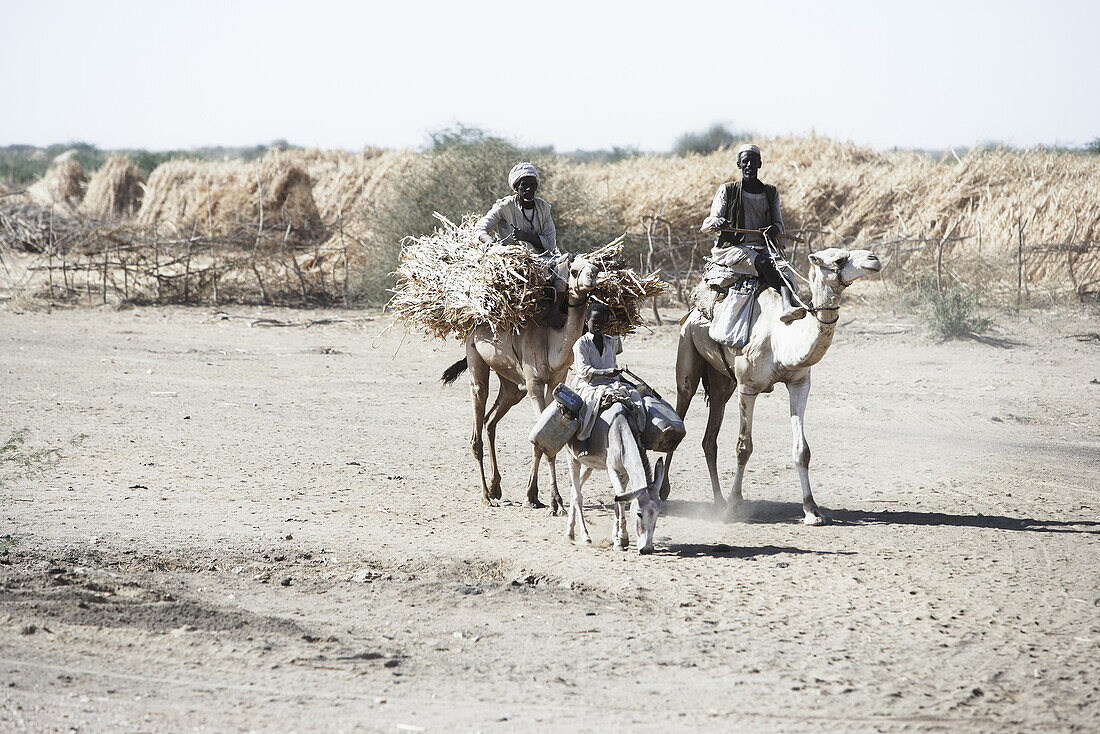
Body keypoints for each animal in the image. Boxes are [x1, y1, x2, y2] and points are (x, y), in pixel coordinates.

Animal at [440, 255, 602, 515]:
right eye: (574, 271)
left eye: (596, 267)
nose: (591, 277)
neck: (551, 342)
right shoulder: (534, 383)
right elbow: (540, 441)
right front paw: (553, 502)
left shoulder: (556, 381)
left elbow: (541, 441)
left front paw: (534, 496)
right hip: (475, 352)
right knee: (478, 410)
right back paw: (486, 496)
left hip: (511, 383)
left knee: (490, 420)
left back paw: (496, 487)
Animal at [567, 404, 660, 554]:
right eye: (639, 514)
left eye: (657, 514)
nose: (647, 549)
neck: (621, 430)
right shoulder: (612, 469)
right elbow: (621, 500)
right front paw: (621, 539)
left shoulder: (625, 473)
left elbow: (619, 500)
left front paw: (619, 537)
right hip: (572, 457)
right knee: (577, 496)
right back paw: (585, 536)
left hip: (589, 465)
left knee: (573, 490)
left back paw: (569, 533)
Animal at [660, 249, 884, 526]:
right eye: (839, 259)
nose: (873, 259)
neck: (780, 339)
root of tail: (692, 310)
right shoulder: (747, 387)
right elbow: (743, 447)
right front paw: (735, 507)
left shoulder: (799, 383)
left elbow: (802, 450)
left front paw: (812, 510)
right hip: (687, 357)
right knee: (681, 409)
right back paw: (665, 491)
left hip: (722, 382)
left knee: (709, 438)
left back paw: (718, 501)